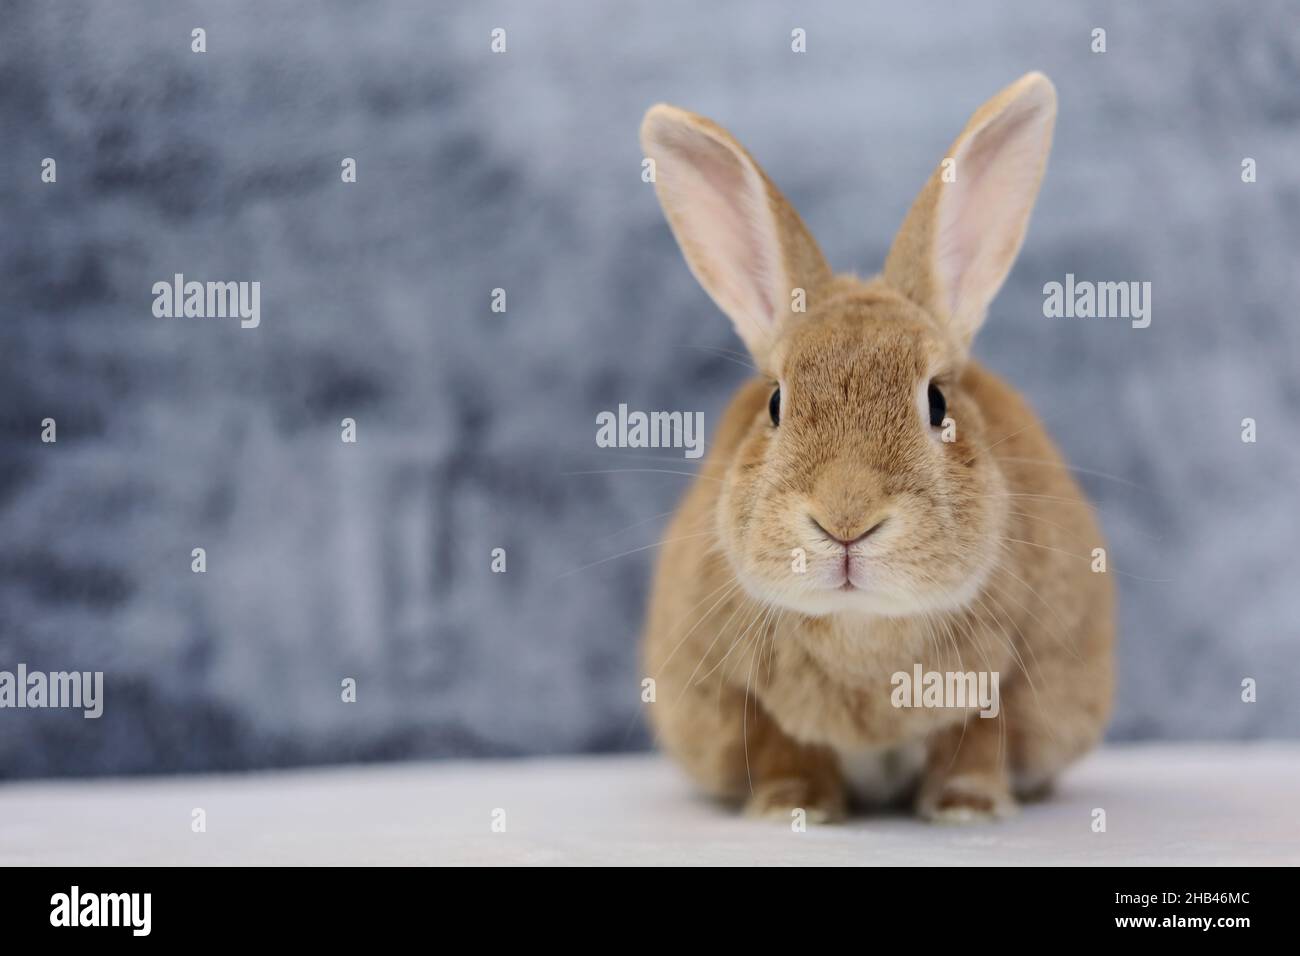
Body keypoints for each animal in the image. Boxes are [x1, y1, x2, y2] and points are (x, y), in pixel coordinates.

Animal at [638, 72, 1114, 824]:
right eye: (776, 403)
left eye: (938, 403)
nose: (846, 520)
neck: (860, 627)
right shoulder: (746, 700)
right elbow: (782, 745)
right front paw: (793, 808)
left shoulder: (1001, 684)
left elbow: (978, 740)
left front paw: (968, 807)